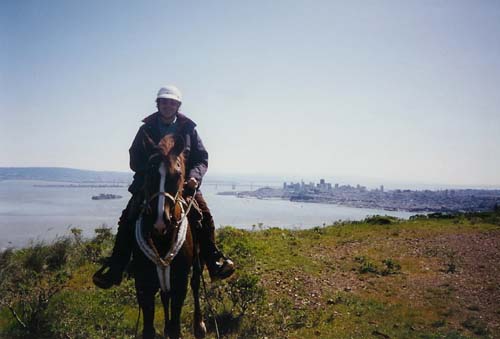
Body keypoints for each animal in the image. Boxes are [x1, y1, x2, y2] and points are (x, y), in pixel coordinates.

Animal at [133, 134, 207, 339]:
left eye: (177, 175)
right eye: (149, 174)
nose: (160, 222)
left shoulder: (179, 281)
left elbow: (175, 326)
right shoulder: (143, 284)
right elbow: (148, 329)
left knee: (196, 283)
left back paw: (199, 325)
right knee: (165, 295)